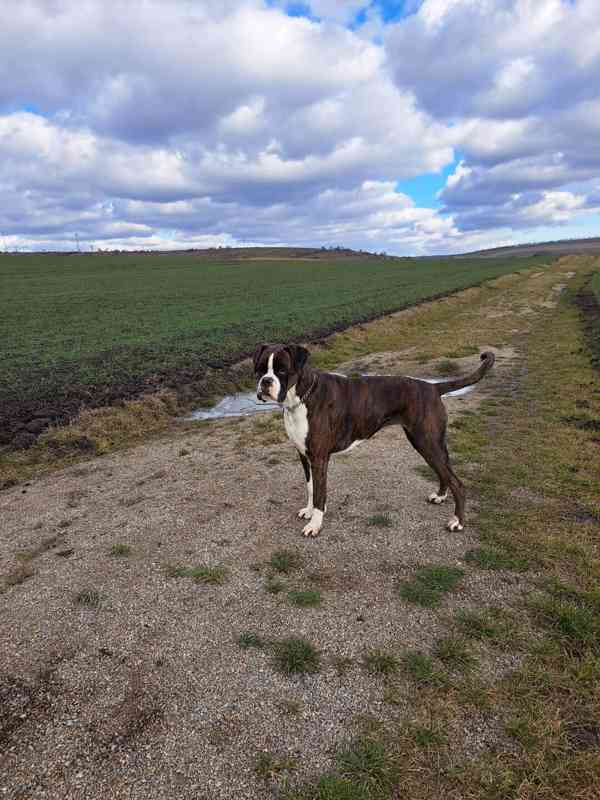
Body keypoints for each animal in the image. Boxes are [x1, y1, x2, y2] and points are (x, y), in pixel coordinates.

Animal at [255, 342, 494, 536]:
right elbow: (311, 487)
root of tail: (433, 387)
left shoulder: (319, 458)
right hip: (428, 444)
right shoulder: (305, 456)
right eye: (259, 370)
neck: (301, 397)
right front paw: (309, 511)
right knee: (445, 472)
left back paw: (457, 522)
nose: (265, 382)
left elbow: (320, 493)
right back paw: (440, 496)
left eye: (282, 370)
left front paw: (315, 524)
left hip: (427, 443)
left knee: (457, 483)